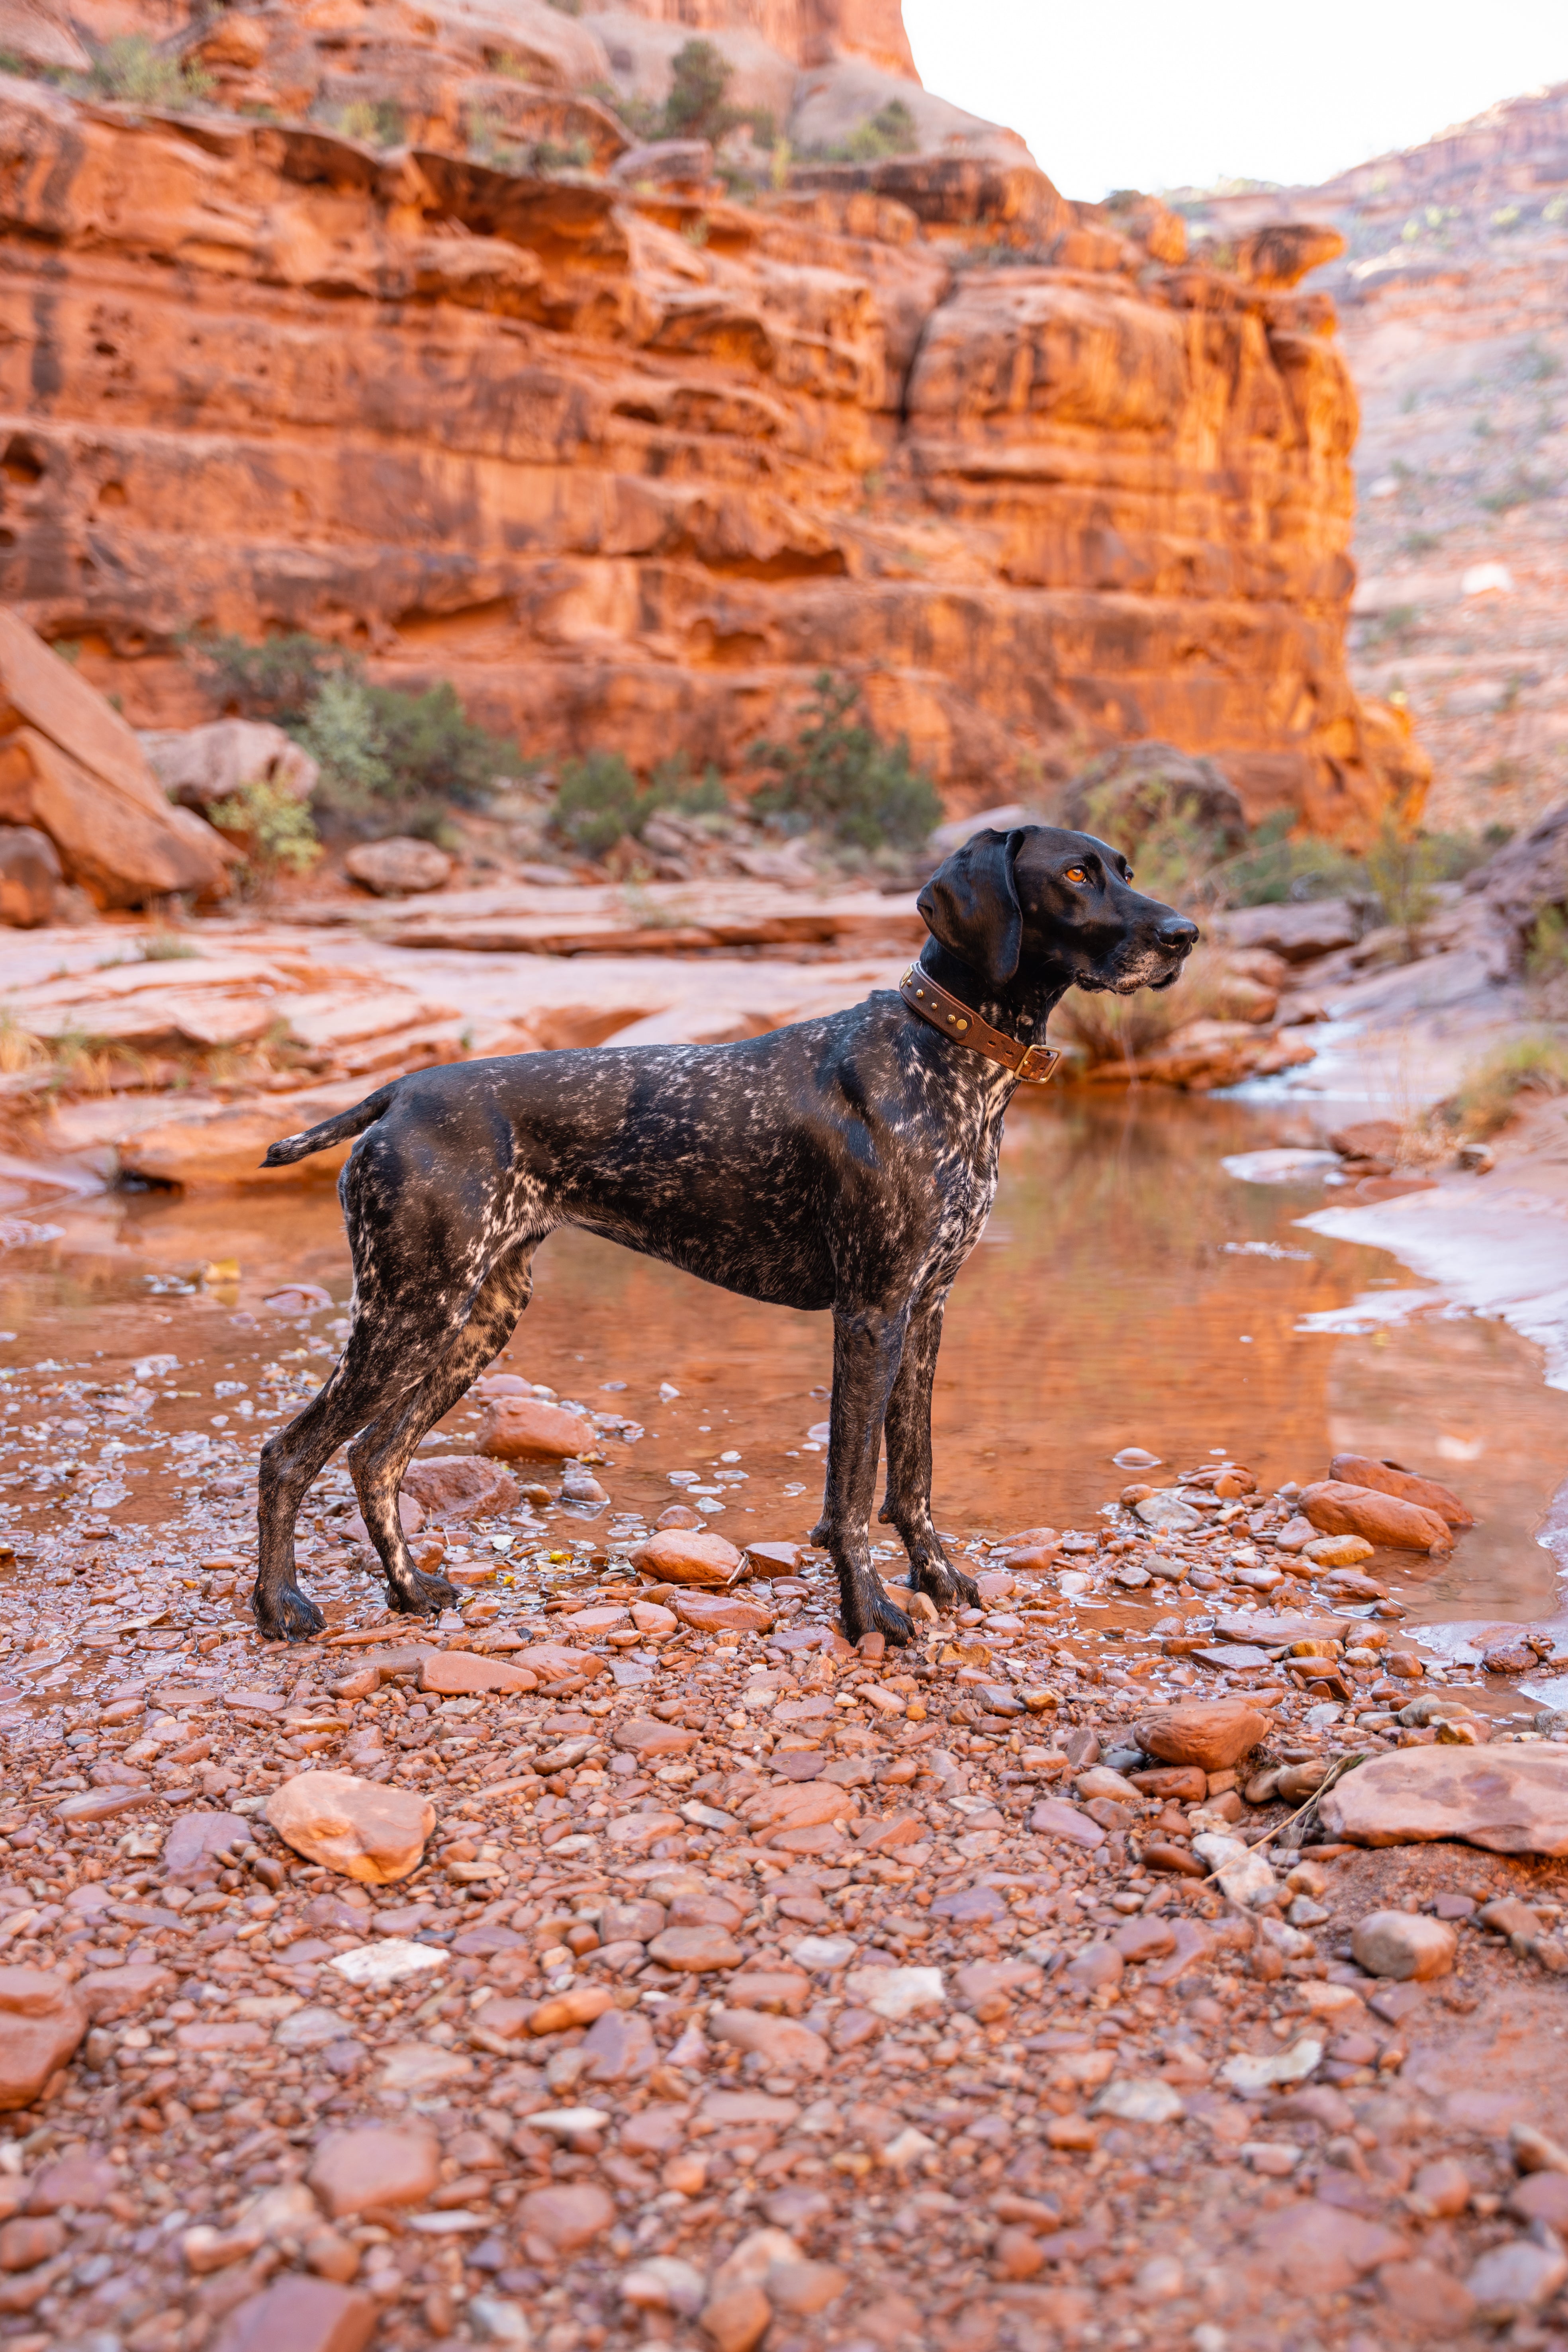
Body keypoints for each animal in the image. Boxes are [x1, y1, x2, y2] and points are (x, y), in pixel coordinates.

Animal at [257, 837, 1194, 1646]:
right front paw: (868, 1612)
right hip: (411, 1309)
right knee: (288, 1453)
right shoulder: (870, 1313)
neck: (941, 1056)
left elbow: (913, 1475)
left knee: (375, 1457)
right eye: (1074, 873)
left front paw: (936, 1578)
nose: (1185, 936)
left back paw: (410, 1591)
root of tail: (401, 1093)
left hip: (474, 1318)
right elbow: (851, 1493)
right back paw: (278, 1606)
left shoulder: (925, 1309)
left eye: (1124, 868)